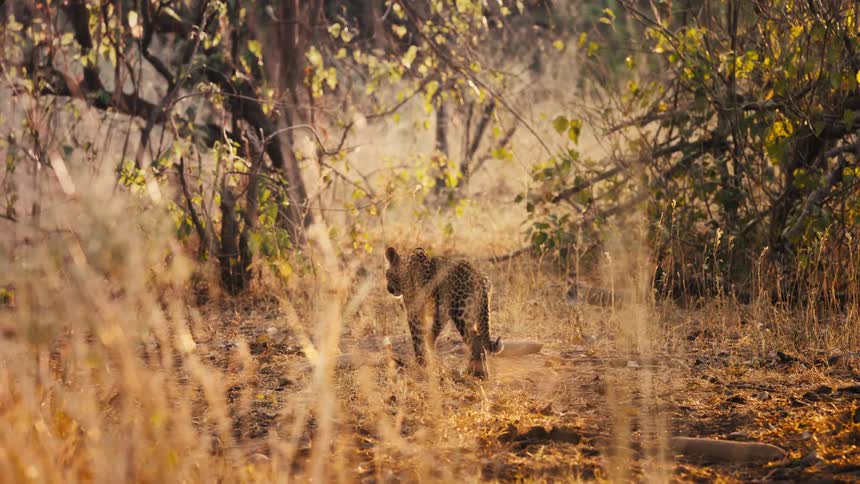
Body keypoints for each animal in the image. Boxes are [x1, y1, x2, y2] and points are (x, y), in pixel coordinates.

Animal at [385, 247, 502, 378]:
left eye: (387, 274)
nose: (388, 288)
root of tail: (481, 280)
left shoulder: (415, 312)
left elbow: (418, 338)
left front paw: (420, 364)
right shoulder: (440, 312)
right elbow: (430, 335)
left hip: (461, 313)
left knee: (474, 339)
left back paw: (477, 373)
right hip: (476, 314)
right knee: (478, 338)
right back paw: (476, 372)